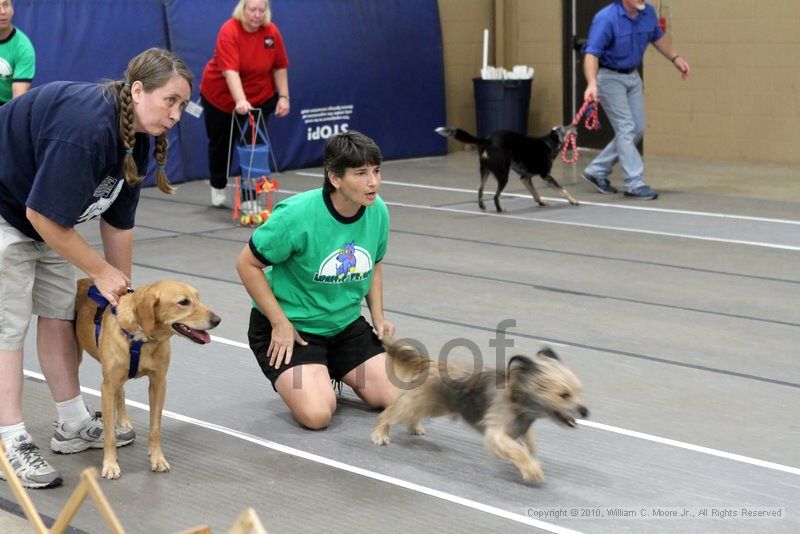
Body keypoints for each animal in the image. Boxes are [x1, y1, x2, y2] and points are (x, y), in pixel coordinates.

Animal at [74, 278, 220, 480]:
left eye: (198, 298)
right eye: (184, 302)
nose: (217, 320)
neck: (141, 338)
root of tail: (82, 280)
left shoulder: (158, 383)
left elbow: (155, 429)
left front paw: (157, 459)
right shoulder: (108, 387)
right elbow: (109, 435)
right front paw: (110, 464)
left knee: (122, 392)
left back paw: (124, 421)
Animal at [370, 340, 588, 486]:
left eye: (579, 391)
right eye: (564, 395)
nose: (585, 411)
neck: (519, 396)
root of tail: (429, 363)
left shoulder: (521, 428)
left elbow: (528, 444)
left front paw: (529, 459)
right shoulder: (496, 433)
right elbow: (517, 450)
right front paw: (532, 468)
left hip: (430, 405)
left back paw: (414, 426)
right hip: (414, 404)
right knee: (387, 414)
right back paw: (380, 434)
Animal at [434, 126, 580, 213]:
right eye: (565, 128)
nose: (575, 126)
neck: (549, 143)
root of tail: (487, 140)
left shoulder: (525, 178)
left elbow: (535, 193)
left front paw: (541, 202)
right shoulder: (546, 176)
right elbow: (563, 190)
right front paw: (573, 200)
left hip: (485, 171)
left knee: (480, 190)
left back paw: (482, 206)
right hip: (503, 175)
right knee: (495, 196)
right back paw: (499, 210)